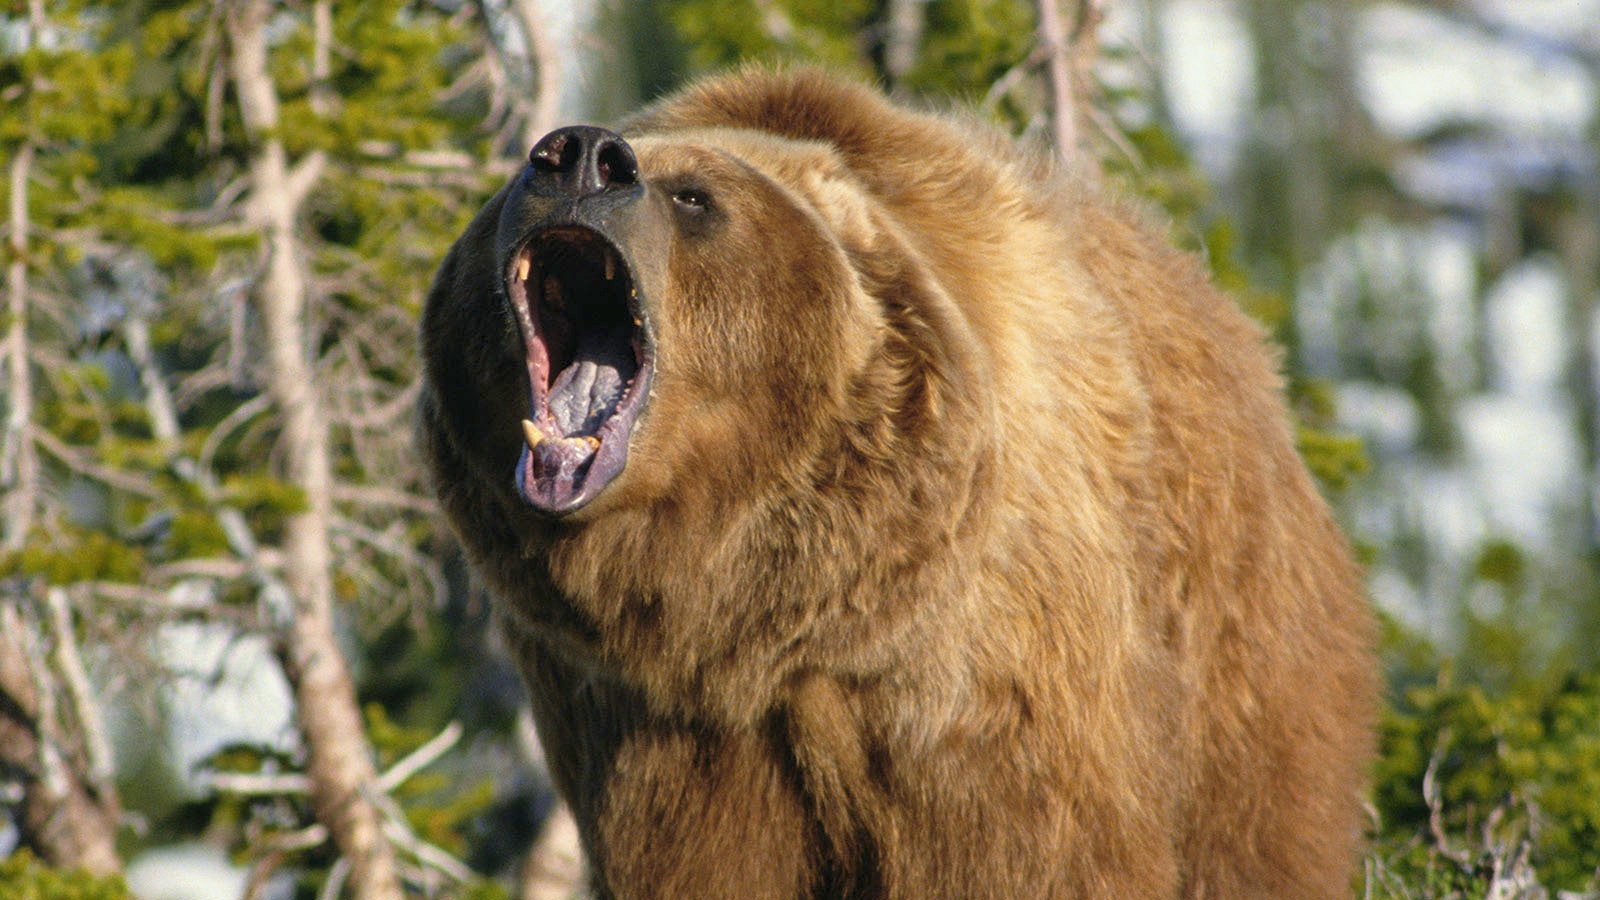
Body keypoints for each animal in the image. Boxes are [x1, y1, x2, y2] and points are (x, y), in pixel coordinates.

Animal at [418, 67, 1377, 898]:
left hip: (1241, 667)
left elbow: (1031, 858)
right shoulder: (647, 727)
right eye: (528, 167)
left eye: (695, 197)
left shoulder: (986, 696)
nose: (580, 154)